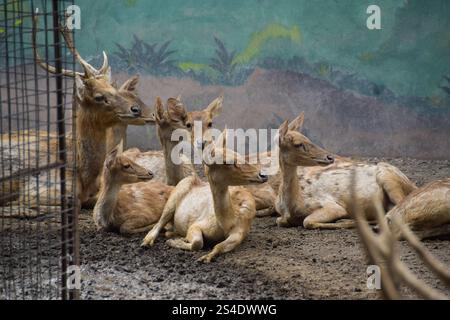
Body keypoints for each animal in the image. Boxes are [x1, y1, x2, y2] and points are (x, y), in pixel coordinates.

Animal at [272, 112, 416, 228]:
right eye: (298, 144)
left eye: (308, 138)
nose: (330, 157)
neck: (292, 205)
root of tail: (412, 186)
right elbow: (280, 221)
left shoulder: (331, 205)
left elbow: (307, 221)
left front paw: (343, 220)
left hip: (388, 178)